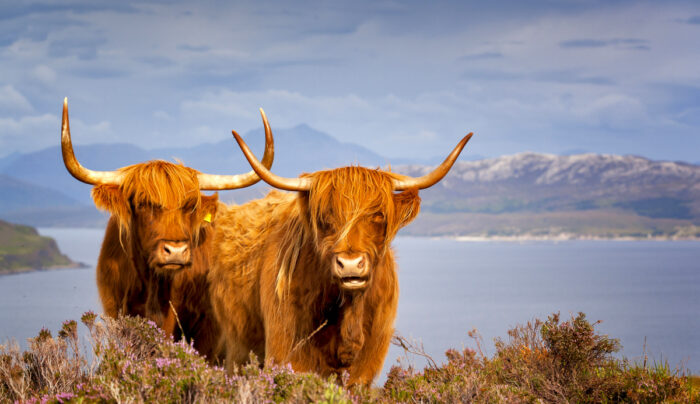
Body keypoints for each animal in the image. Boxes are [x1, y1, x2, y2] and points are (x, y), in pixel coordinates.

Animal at [208, 127, 470, 386]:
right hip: (237, 349)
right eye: (325, 216)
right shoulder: (289, 354)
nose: (351, 265)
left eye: (378, 215)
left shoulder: (366, 367)